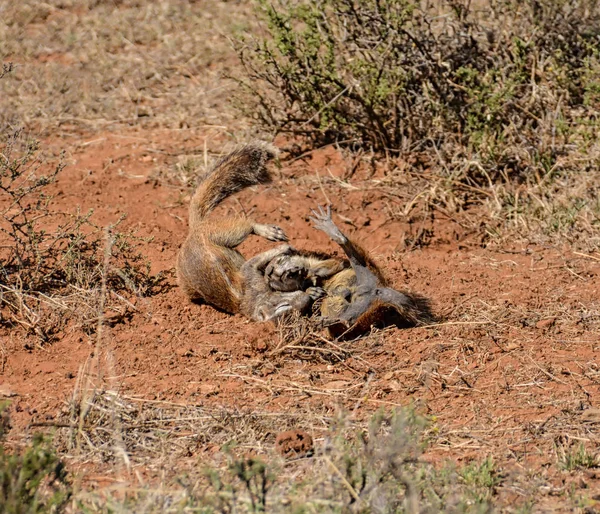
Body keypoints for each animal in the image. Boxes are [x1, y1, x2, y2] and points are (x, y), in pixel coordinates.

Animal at [177, 142, 328, 320]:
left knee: (248, 226)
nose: (305, 300)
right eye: (285, 309)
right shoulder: (253, 282)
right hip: (218, 234)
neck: (252, 303)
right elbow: (250, 264)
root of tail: (194, 228)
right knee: (245, 226)